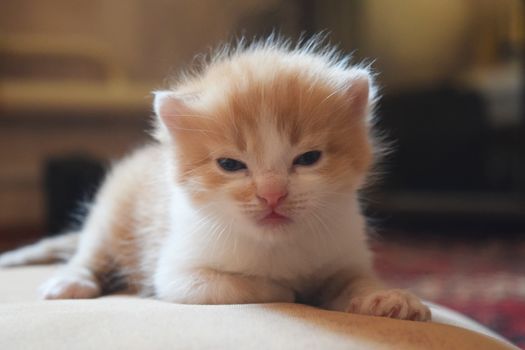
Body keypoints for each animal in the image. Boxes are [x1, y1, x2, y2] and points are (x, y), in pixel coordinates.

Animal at [0, 37, 430, 322]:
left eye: (308, 159)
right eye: (230, 164)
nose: (272, 194)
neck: (277, 246)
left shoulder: (345, 253)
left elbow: (354, 280)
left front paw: (386, 298)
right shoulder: (178, 273)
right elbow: (240, 286)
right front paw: (290, 290)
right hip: (111, 214)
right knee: (89, 253)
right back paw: (69, 282)